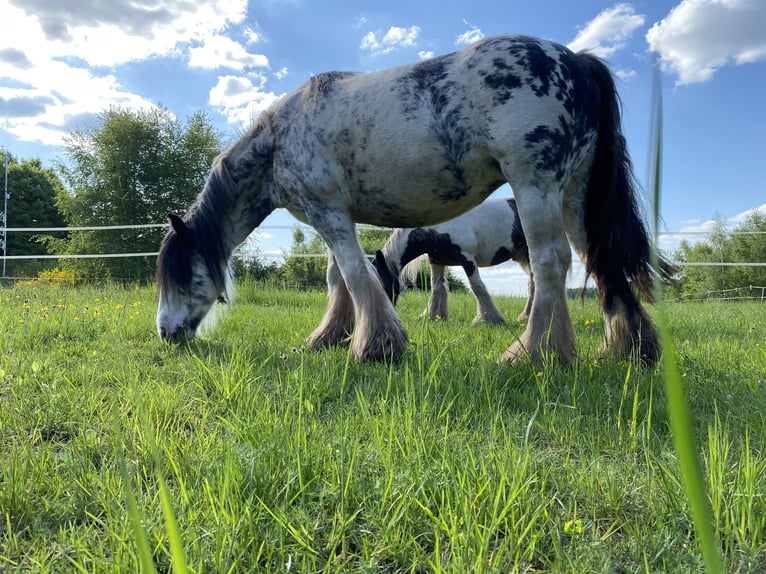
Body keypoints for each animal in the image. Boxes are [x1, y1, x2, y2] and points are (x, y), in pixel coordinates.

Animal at [374, 197, 536, 324]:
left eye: (381, 283)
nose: (383, 316)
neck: (437, 227)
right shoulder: (437, 261)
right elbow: (437, 288)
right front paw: (432, 317)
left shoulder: (467, 258)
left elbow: (477, 286)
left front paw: (487, 319)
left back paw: (527, 317)